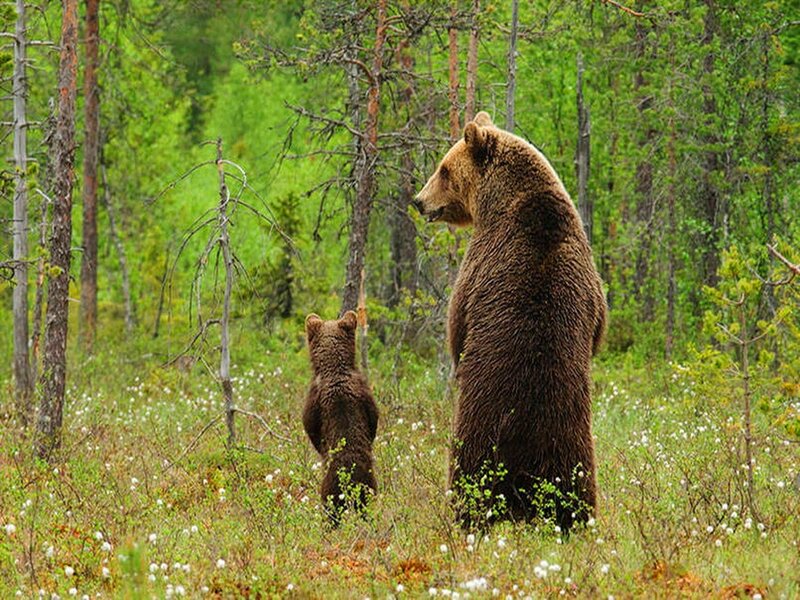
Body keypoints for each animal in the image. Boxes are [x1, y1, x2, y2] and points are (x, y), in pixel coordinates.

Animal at [303, 311, 379, 525]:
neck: (334, 369)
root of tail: (351, 481)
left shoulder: (314, 399)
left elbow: (310, 425)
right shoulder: (364, 392)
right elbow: (374, 418)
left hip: (330, 489)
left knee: (331, 511)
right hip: (368, 487)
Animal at [413, 111, 607, 531]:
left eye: (444, 169)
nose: (418, 201)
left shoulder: (480, 261)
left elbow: (457, 323)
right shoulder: (589, 278)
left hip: (480, 430)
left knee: (469, 474)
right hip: (571, 441)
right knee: (576, 487)